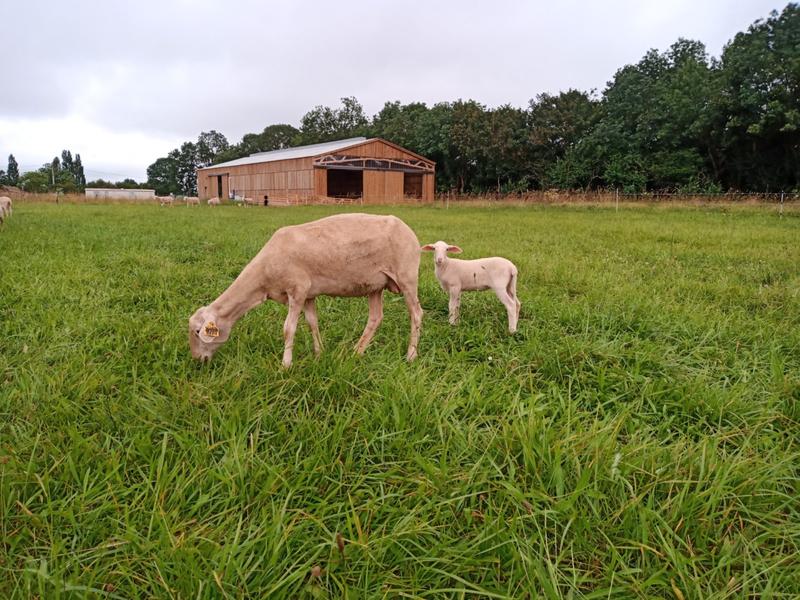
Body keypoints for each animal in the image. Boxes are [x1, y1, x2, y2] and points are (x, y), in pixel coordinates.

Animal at [189, 213, 423, 367]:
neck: (263, 278)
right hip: (375, 284)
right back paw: (356, 352)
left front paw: (286, 365)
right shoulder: (309, 294)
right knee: (375, 317)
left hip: (407, 275)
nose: (198, 360)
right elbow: (312, 323)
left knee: (416, 313)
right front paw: (319, 353)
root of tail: (409, 231)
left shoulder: (298, 289)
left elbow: (288, 328)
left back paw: (411, 355)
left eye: (198, 332)